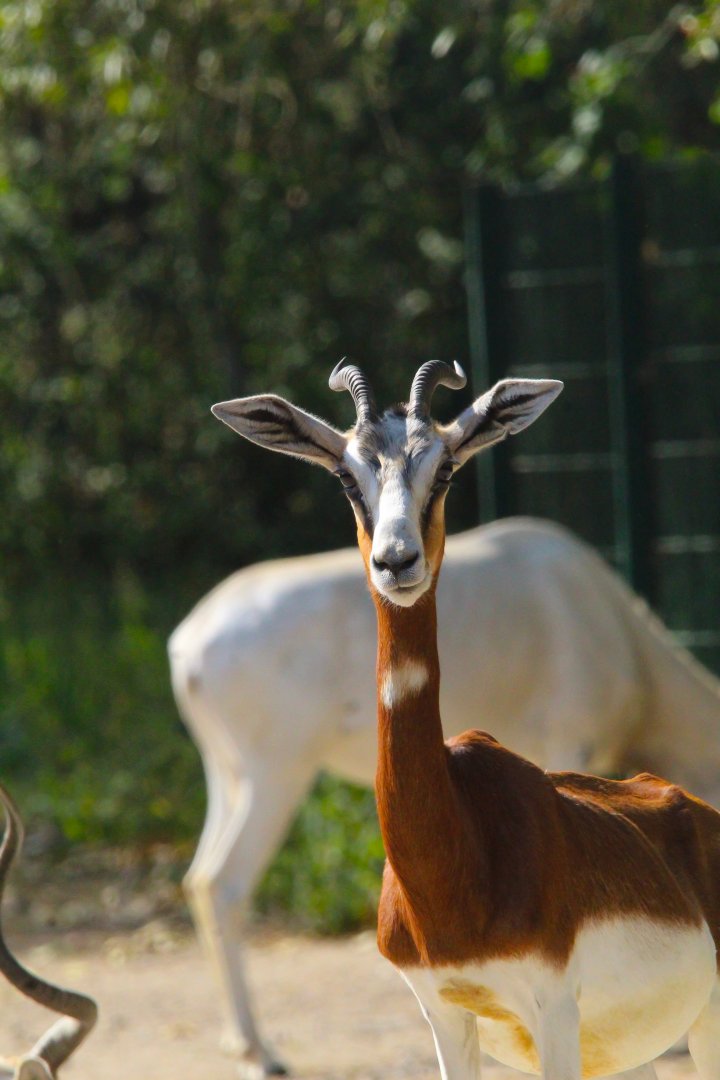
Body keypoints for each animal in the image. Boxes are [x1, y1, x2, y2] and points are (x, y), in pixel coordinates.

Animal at [211, 359, 720, 1080]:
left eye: (445, 468)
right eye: (346, 475)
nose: (396, 561)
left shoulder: (553, 1012)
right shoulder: (444, 1014)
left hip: (698, 1025)